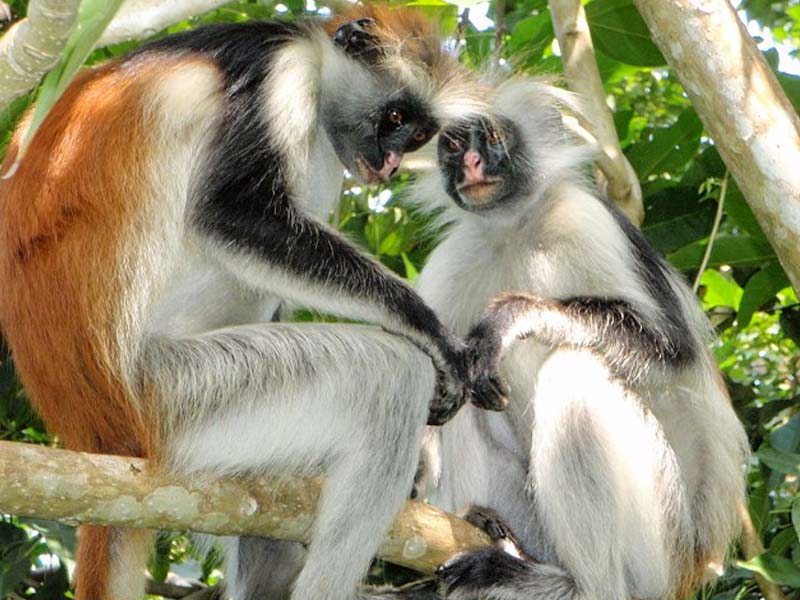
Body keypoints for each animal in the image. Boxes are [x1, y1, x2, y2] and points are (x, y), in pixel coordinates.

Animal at [0, 7, 493, 600]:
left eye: (417, 133)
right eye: (393, 116)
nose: (392, 162)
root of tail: (98, 433)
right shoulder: (279, 72)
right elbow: (231, 212)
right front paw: (431, 332)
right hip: (178, 394)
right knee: (390, 379)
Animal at [372, 78, 749, 599]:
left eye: (492, 138)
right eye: (453, 146)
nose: (471, 164)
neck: (515, 229)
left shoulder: (587, 219)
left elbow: (672, 354)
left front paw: (512, 316)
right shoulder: (453, 259)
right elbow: (441, 376)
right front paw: (411, 467)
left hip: (658, 541)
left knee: (576, 371)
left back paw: (577, 584)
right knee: (467, 392)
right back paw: (492, 529)